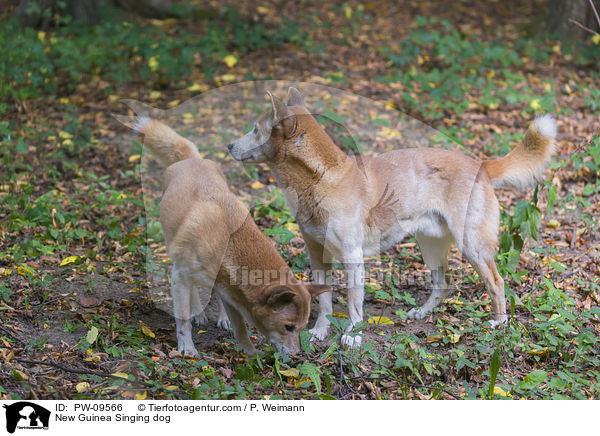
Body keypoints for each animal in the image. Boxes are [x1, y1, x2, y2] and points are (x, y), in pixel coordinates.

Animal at [132, 117, 330, 356]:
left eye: (302, 327)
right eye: (289, 327)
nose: (296, 356)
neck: (229, 243)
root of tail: (191, 160)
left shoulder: (230, 292)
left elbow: (241, 327)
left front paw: (251, 354)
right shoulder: (179, 277)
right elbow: (183, 320)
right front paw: (187, 348)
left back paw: (220, 318)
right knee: (193, 294)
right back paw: (198, 314)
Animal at [226, 87, 556, 348]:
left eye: (254, 129)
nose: (227, 145)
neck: (319, 179)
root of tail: (481, 164)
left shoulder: (353, 256)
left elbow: (354, 303)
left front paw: (353, 336)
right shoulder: (317, 252)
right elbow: (325, 299)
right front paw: (320, 331)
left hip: (471, 244)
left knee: (497, 283)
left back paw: (499, 323)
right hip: (429, 245)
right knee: (444, 283)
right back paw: (422, 313)